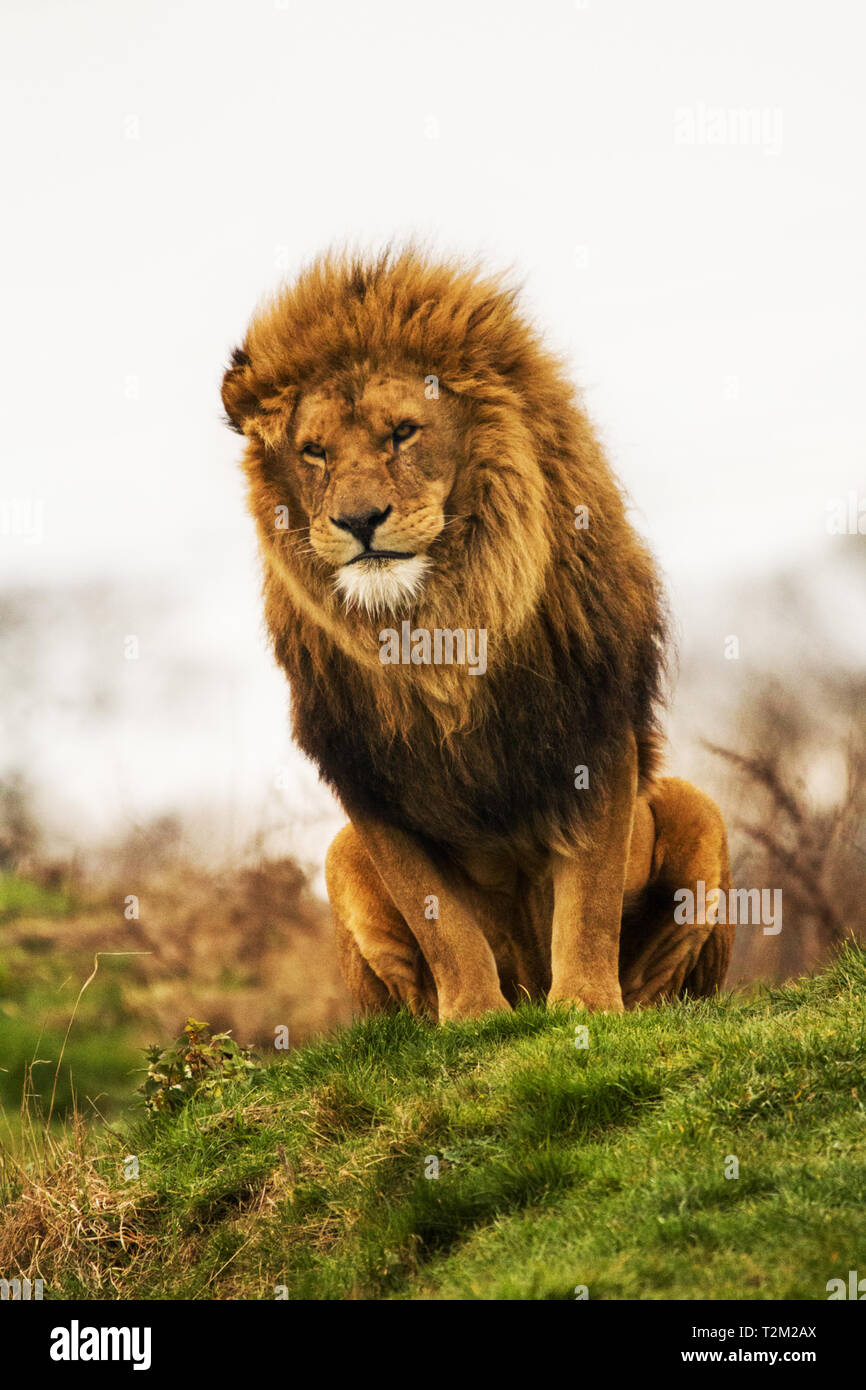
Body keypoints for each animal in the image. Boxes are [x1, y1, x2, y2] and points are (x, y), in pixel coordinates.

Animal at [222, 247, 734, 1022]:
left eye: (403, 432)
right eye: (313, 452)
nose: (359, 520)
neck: (443, 617)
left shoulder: (593, 725)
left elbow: (589, 895)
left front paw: (586, 1008)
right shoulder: (364, 773)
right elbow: (439, 916)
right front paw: (471, 1019)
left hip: (698, 811)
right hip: (341, 854)